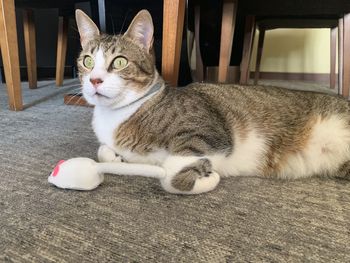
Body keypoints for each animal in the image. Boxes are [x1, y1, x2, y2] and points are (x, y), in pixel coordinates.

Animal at [75, 9, 350, 195]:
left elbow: (172, 171)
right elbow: (102, 151)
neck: (117, 115)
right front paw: (116, 158)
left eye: (120, 62)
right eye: (87, 61)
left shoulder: (207, 129)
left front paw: (206, 177)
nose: (95, 80)